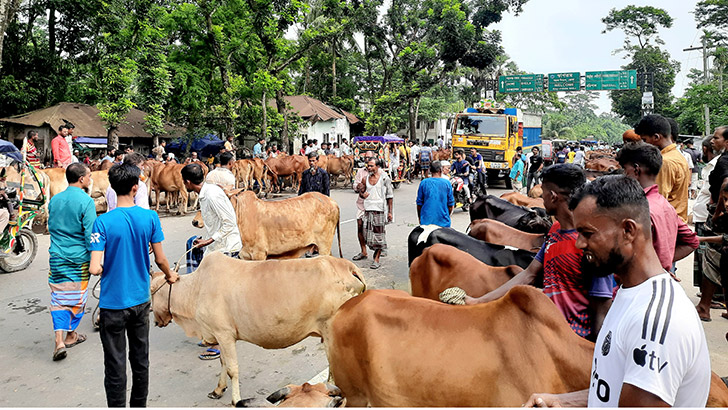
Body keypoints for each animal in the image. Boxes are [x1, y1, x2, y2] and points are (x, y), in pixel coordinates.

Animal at [149, 253, 364, 406]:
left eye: (151, 290)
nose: (155, 319)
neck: (196, 288)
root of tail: (348, 267)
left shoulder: (224, 334)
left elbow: (232, 369)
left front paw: (236, 400)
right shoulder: (220, 336)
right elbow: (223, 363)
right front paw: (218, 390)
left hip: (331, 333)